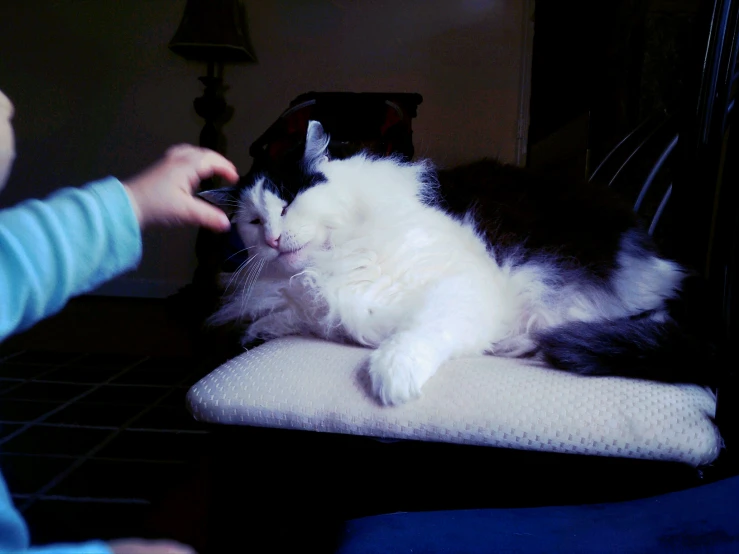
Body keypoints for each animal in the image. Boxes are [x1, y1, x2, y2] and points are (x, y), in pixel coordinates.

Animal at [199, 122, 712, 406]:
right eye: (252, 221)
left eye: (287, 204)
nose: (272, 238)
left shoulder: (462, 283)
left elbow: (419, 330)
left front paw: (393, 375)